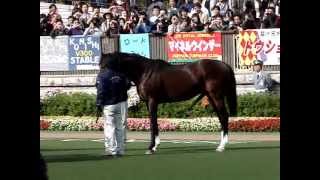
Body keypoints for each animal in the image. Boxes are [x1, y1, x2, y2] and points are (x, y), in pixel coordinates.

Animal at [100, 52, 238, 155]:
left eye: (107, 65)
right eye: (100, 65)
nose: (100, 82)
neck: (144, 72)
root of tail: (225, 65)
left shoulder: (152, 101)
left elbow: (152, 123)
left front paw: (151, 147)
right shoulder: (149, 103)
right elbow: (154, 122)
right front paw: (155, 146)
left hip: (216, 96)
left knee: (224, 116)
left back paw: (221, 146)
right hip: (210, 96)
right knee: (221, 117)